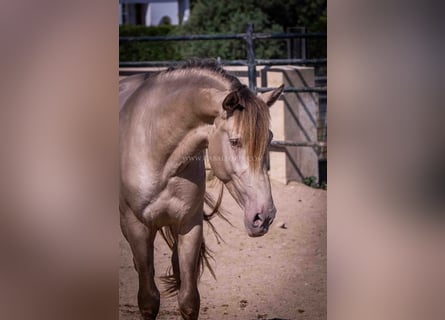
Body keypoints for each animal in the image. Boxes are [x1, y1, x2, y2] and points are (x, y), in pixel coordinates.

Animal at [119, 60, 282, 320]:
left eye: (269, 139)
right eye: (235, 141)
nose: (264, 216)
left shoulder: (189, 224)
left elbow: (188, 299)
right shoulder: (137, 228)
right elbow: (148, 300)